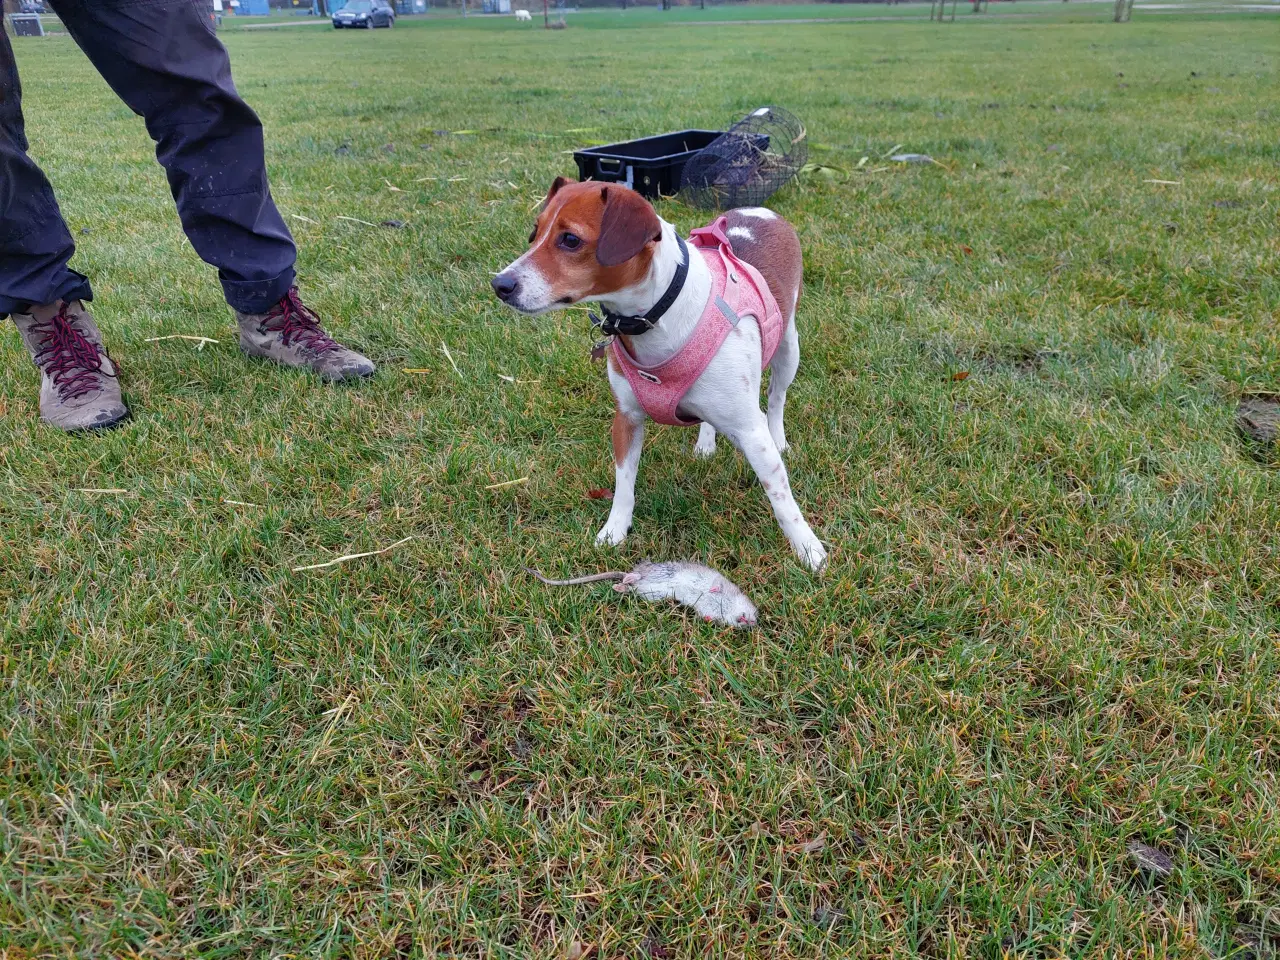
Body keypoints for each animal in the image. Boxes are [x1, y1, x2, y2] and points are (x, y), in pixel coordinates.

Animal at [488, 179, 829, 570]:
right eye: (535, 232)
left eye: (570, 239)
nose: (500, 284)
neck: (658, 313)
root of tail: (759, 210)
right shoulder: (627, 418)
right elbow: (623, 483)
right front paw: (615, 531)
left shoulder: (751, 430)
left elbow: (781, 496)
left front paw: (807, 548)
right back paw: (705, 442)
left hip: (789, 347)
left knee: (776, 397)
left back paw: (780, 436)